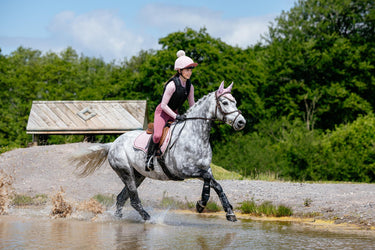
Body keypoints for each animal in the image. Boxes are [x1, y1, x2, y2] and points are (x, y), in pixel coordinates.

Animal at [72, 81, 247, 221]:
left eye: (235, 102)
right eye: (225, 102)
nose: (241, 122)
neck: (195, 135)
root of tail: (113, 143)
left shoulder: (205, 168)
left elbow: (215, 185)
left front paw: (228, 212)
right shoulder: (184, 171)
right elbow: (208, 181)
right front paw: (201, 204)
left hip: (138, 175)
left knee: (121, 198)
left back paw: (118, 218)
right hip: (125, 172)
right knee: (133, 200)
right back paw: (149, 219)